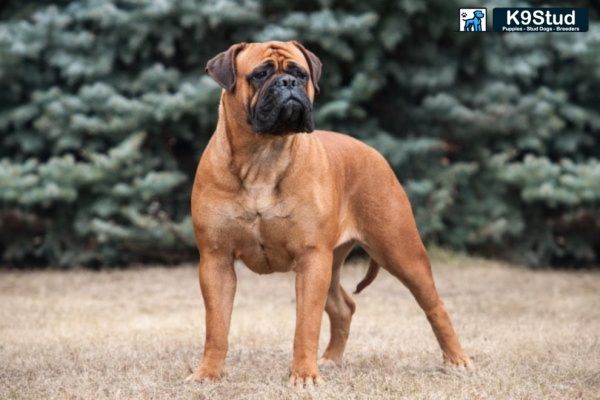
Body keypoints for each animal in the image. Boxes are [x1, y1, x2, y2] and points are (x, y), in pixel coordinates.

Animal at [186, 41, 468, 388]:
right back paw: (331, 359)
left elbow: (306, 324)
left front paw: (304, 376)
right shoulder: (216, 259)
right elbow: (216, 326)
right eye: (260, 74)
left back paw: (457, 360)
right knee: (343, 306)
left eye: (300, 74)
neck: (262, 157)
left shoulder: (311, 259)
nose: (288, 83)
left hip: (400, 252)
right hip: (333, 263)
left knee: (434, 306)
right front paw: (207, 373)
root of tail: (373, 152)